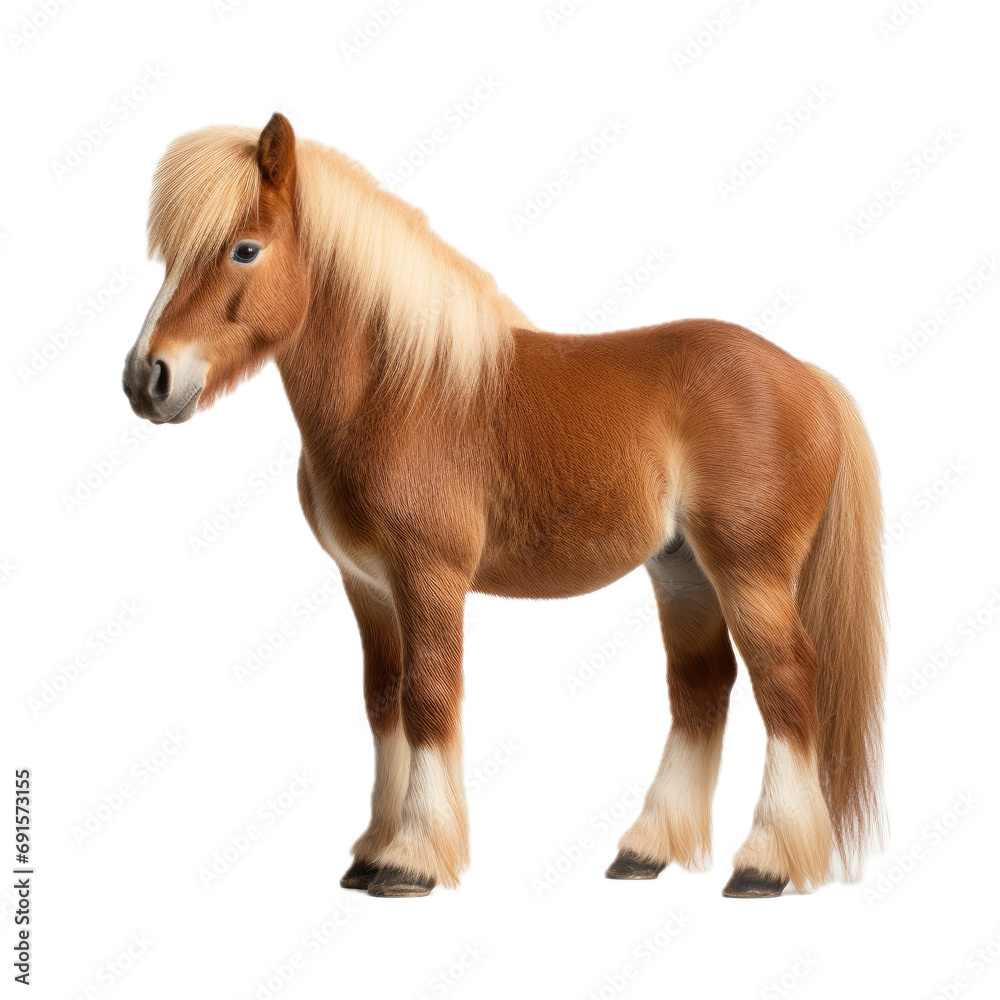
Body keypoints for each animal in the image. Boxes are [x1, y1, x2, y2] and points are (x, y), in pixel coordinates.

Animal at [123, 113, 886, 899]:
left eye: (245, 249)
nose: (148, 379)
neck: (396, 390)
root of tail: (807, 378)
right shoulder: (367, 586)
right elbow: (382, 702)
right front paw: (373, 848)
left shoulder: (428, 577)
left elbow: (428, 699)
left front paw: (411, 859)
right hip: (682, 571)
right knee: (702, 688)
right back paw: (646, 850)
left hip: (748, 570)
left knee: (787, 681)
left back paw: (766, 862)